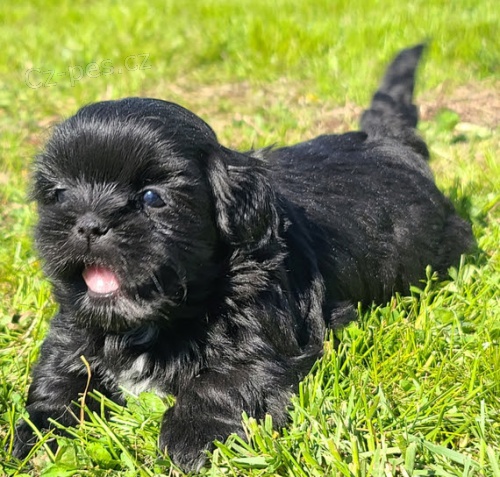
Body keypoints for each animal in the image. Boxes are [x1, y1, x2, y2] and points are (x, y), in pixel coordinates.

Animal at [13, 45, 474, 472]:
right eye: (59, 194)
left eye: (152, 197)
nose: (88, 223)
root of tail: (389, 141)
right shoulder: (75, 324)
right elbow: (61, 368)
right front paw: (38, 431)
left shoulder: (271, 329)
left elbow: (230, 374)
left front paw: (191, 434)